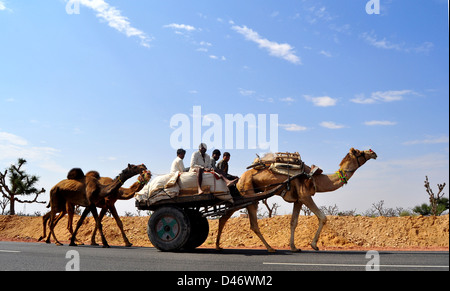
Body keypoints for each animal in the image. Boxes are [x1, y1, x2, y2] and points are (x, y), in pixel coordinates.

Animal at [216, 148, 378, 253]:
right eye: (359, 152)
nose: (373, 153)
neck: (315, 178)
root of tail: (239, 180)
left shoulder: (298, 200)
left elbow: (293, 222)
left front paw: (294, 247)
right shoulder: (305, 196)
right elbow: (323, 217)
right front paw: (314, 245)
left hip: (247, 196)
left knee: (225, 217)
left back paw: (218, 246)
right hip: (248, 194)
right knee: (251, 224)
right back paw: (270, 248)